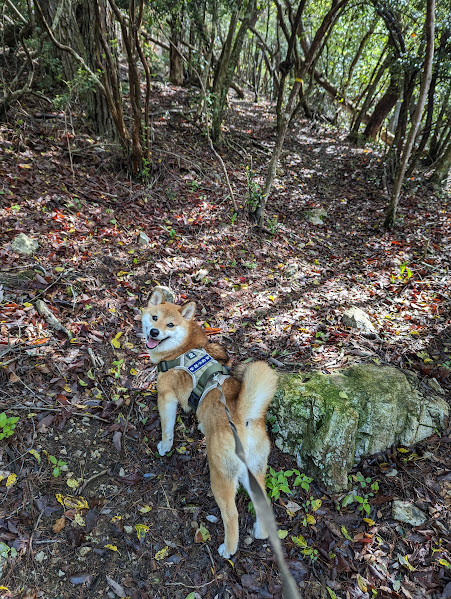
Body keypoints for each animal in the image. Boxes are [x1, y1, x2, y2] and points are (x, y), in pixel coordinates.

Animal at [142, 288, 278, 560]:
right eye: (154, 318)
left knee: (231, 515)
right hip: (254, 471)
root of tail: (243, 418)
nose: (154, 333)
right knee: (263, 503)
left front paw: (164, 446)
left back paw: (228, 548)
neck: (182, 348)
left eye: (170, 325)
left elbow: (167, 428)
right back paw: (260, 532)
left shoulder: (166, 397)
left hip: (221, 476)